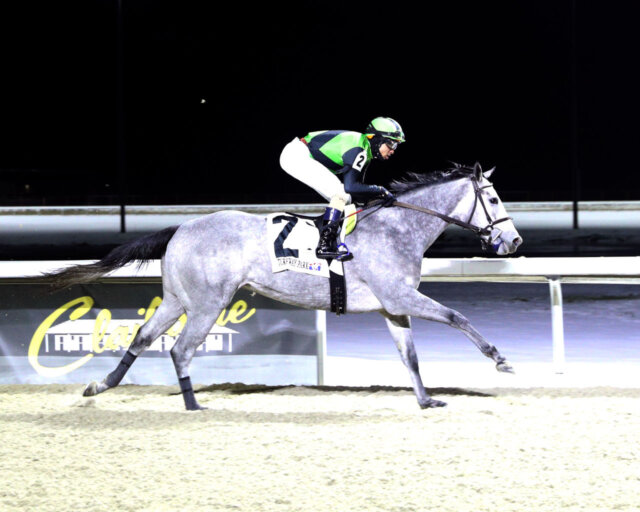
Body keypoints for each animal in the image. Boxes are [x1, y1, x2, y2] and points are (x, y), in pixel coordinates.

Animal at [47, 162, 524, 410]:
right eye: (493, 199)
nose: (514, 241)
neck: (398, 227)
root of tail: (180, 228)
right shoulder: (401, 295)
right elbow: (456, 316)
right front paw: (500, 359)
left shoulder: (393, 306)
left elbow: (410, 356)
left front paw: (426, 401)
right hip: (208, 303)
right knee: (180, 349)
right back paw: (192, 404)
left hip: (177, 298)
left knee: (144, 336)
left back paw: (99, 386)